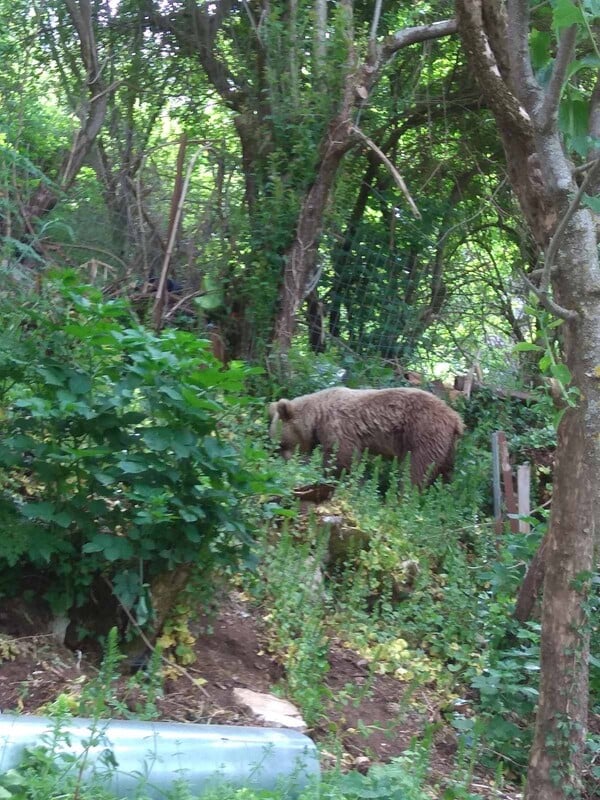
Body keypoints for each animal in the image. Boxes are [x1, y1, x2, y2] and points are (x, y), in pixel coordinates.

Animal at [270, 388, 466, 488]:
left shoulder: (339, 429)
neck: (317, 417)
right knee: (446, 472)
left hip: (424, 433)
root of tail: (456, 418)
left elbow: (343, 458)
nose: (283, 462)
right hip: (448, 446)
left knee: (416, 470)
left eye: (281, 444)